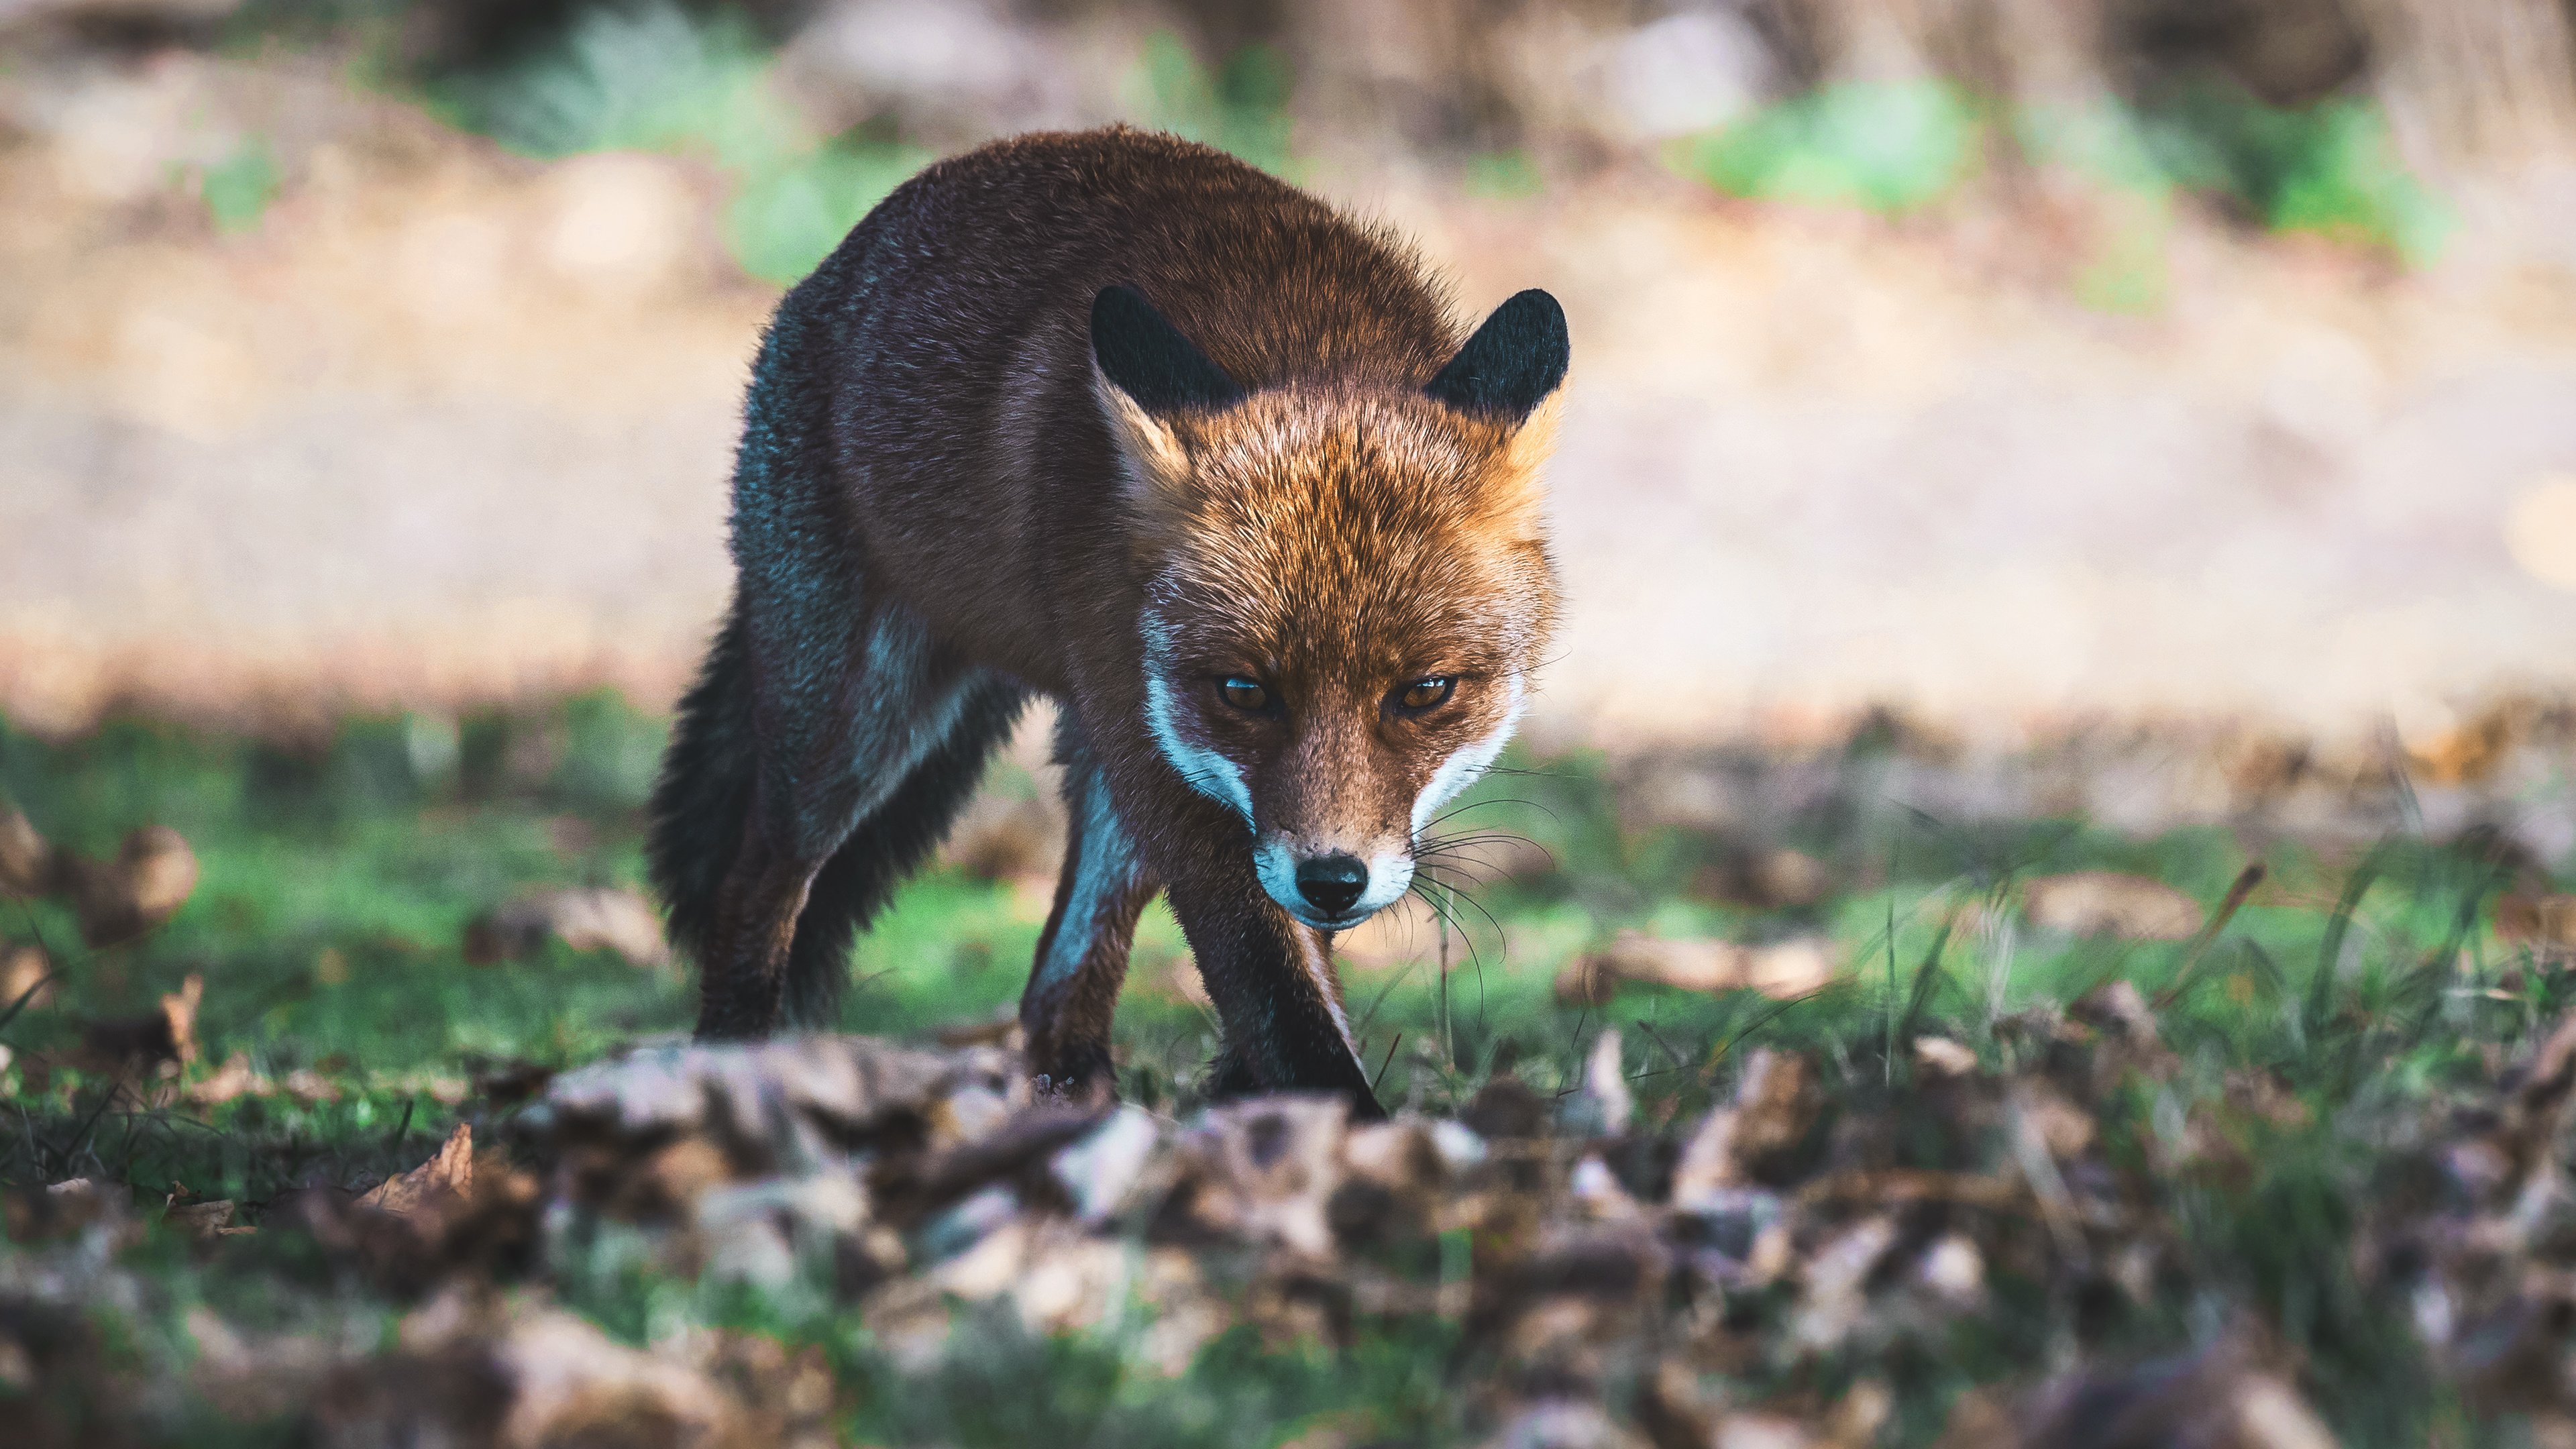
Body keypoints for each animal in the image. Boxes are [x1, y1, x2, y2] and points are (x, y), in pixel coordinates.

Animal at [646, 126, 1567, 1117]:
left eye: (1425, 692)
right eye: (1244, 690)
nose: (1331, 882)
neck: (1309, 349)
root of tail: (838, 261)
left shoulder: (1248, 811)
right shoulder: (1193, 789)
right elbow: (1288, 1014)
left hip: (1100, 774)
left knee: (1056, 988)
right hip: (861, 732)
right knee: (754, 889)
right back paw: (732, 1064)